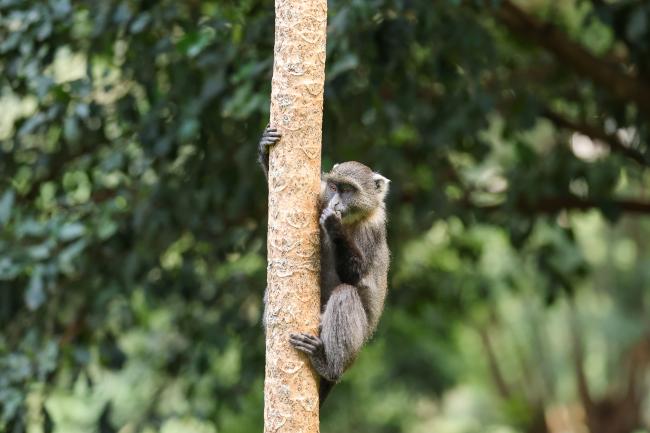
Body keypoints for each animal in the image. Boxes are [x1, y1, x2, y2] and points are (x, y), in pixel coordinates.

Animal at [258, 125, 390, 405]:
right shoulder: (320, 195)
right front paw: (265, 146)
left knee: (345, 294)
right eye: (334, 186)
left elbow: (354, 277)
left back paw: (327, 365)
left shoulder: (372, 229)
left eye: (348, 190)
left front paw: (334, 225)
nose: (336, 204)